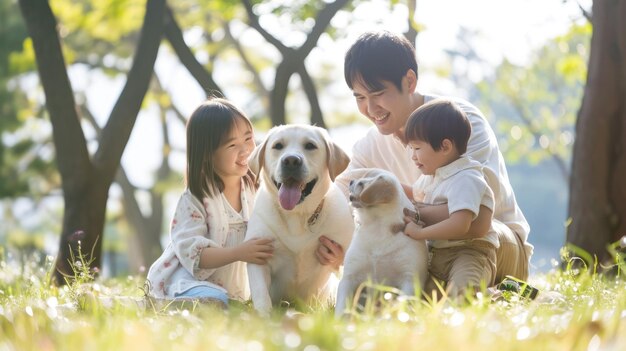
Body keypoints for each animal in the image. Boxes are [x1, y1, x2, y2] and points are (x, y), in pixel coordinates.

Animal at [245, 124, 354, 316]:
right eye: (278, 146)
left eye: (310, 145)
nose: (291, 161)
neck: (297, 215)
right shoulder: (258, 253)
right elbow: (261, 293)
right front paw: (264, 317)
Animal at [334, 169, 426, 318]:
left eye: (361, 183)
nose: (351, 181)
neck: (377, 226)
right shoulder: (349, 277)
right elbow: (342, 309)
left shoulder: (410, 280)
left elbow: (401, 307)